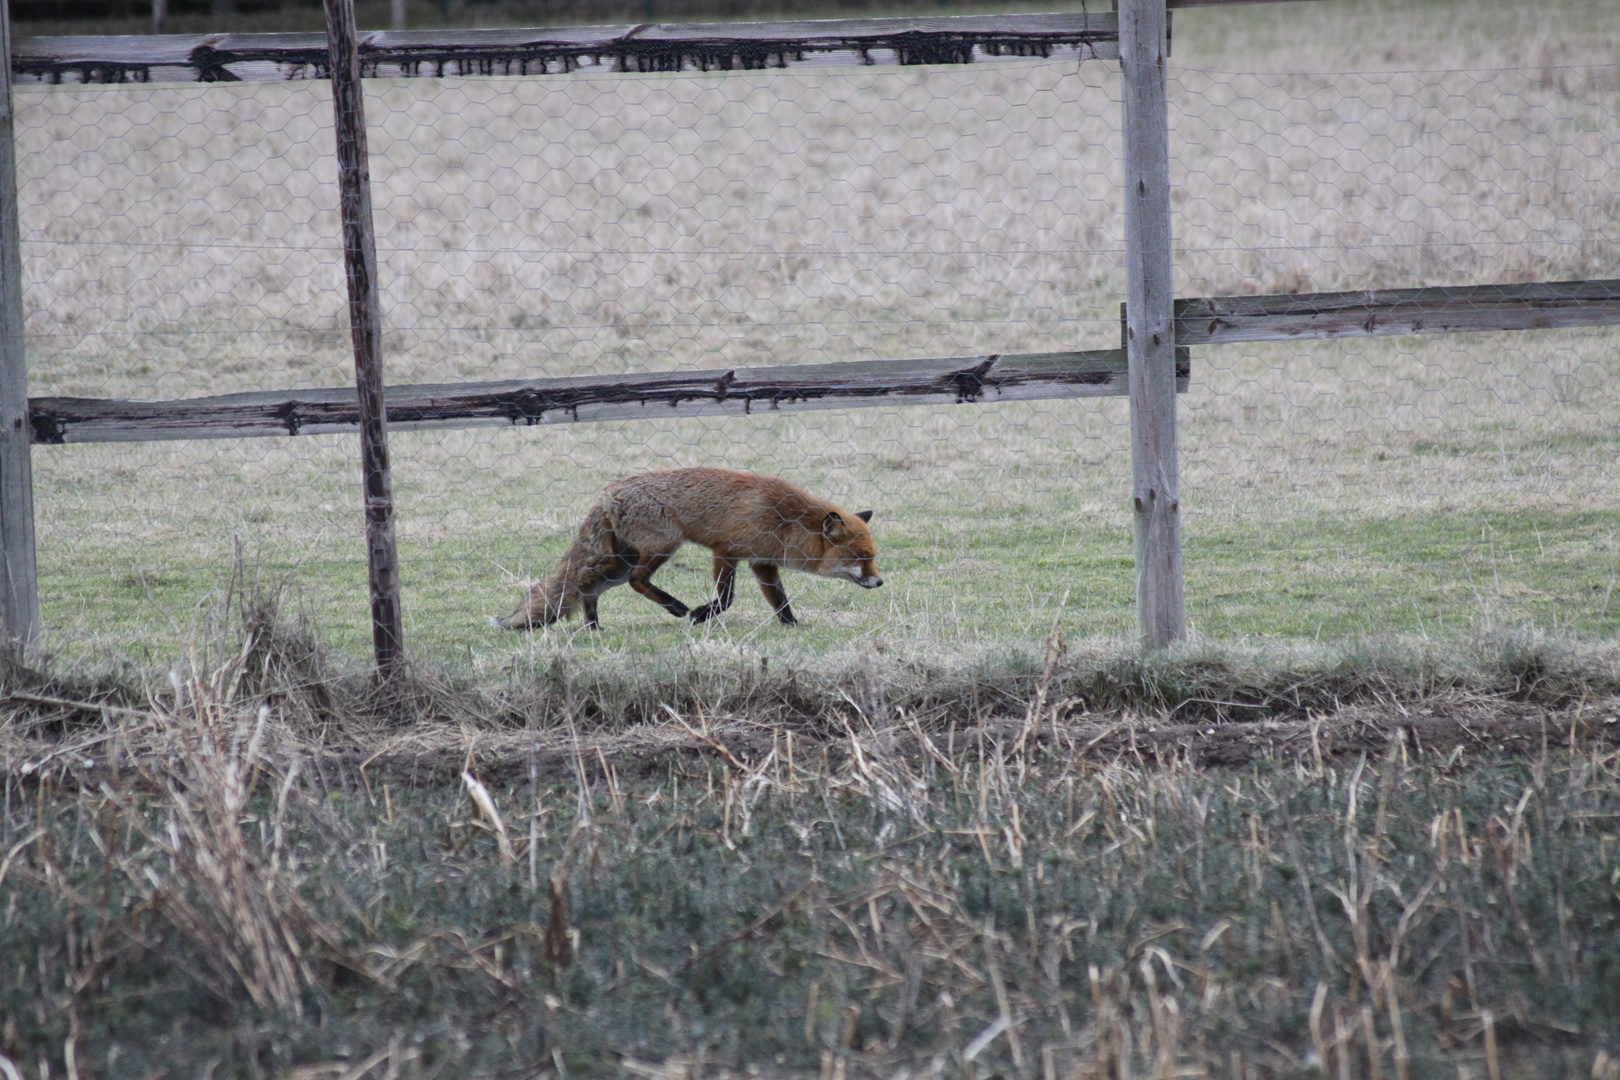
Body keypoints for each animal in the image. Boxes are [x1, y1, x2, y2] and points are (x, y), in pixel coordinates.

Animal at [492, 466, 887, 634]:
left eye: (873, 558)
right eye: (861, 558)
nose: (880, 583)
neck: (784, 520)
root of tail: (609, 492)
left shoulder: (762, 562)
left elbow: (779, 600)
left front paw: (793, 626)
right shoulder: (726, 551)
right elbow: (726, 598)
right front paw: (700, 615)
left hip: (619, 563)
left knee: (588, 589)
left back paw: (593, 627)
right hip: (661, 547)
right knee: (638, 581)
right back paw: (676, 607)